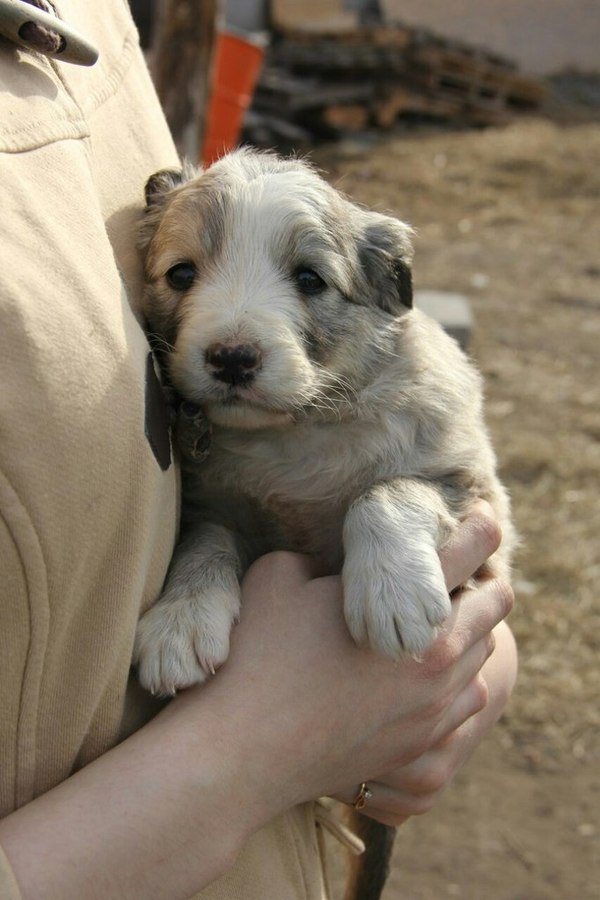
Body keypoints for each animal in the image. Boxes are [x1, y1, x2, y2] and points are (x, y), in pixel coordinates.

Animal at [134, 149, 512, 900]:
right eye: (182, 273)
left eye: (310, 279)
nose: (232, 356)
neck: (297, 430)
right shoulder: (217, 505)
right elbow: (203, 543)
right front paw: (180, 622)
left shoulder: (474, 492)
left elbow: (386, 492)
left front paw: (392, 596)